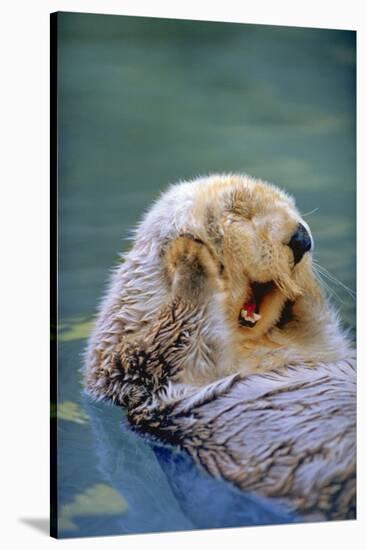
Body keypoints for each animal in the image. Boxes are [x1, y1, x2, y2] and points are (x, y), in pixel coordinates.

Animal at [83, 175, 354, 524]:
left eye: (293, 209)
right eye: (239, 214)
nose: (302, 238)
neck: (250, 344)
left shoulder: (319, 345)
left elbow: (320, 328)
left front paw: (304, 286)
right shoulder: (136, 365)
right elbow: (175, 339)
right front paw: (189, 254)